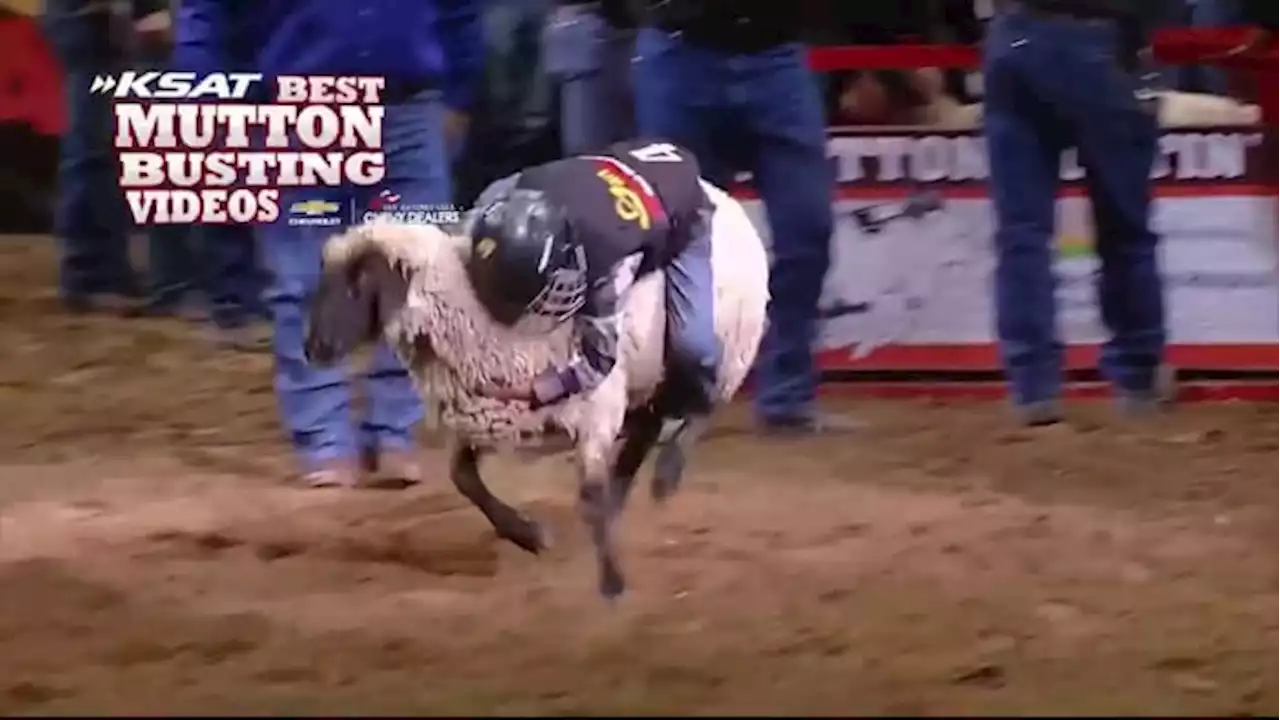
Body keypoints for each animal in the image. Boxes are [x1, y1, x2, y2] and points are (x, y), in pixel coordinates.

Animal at [304, 179, 768, 594]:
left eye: (357, 283)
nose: (312, 349)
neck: (489, 323)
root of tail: (725, 197)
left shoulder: (595, 407)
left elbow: (589, 495)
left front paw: (612, 581)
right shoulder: (491, 412)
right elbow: (462, 476)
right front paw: (529, 535)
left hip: (726, 343)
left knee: (701, 401)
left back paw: (666, 474)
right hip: (648, 375)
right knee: (647, 426)